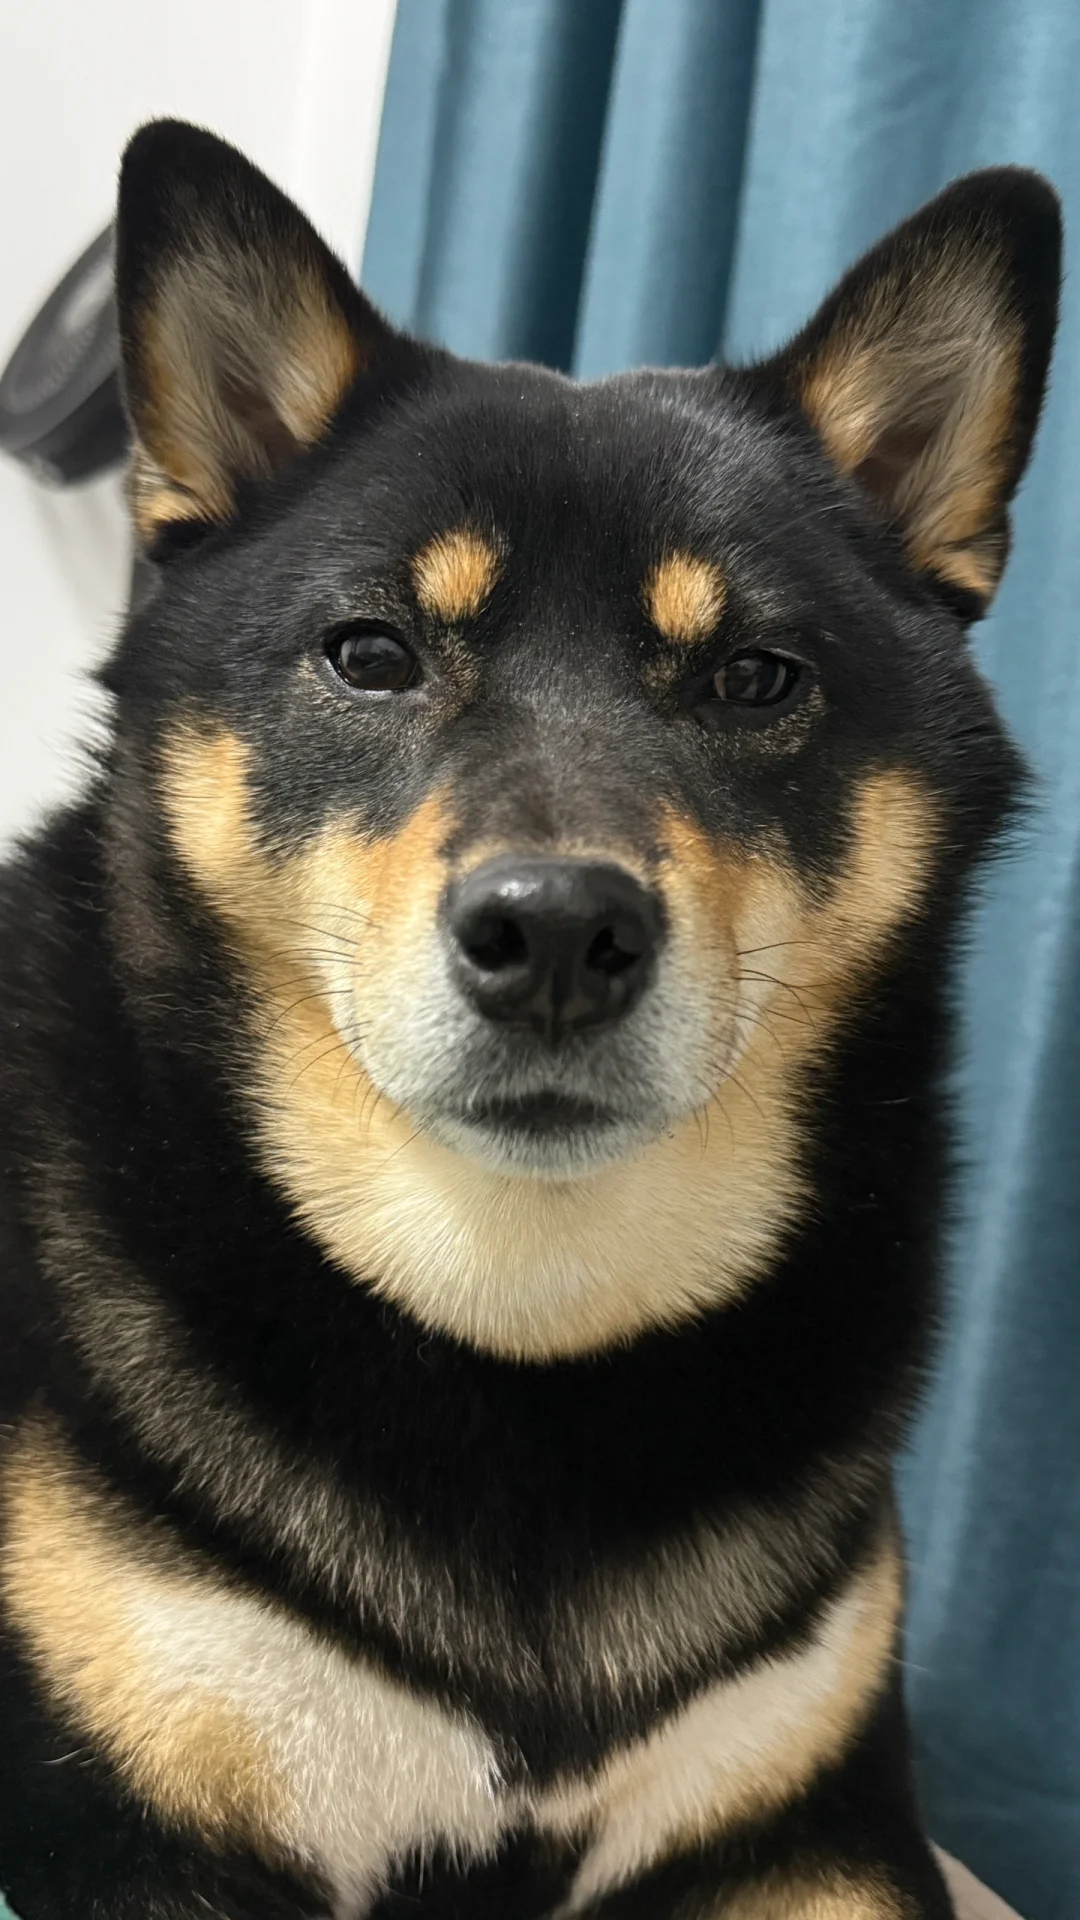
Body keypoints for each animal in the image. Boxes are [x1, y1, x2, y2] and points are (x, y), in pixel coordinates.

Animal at [0, 120, 1059, 1920]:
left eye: (757, 679)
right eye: (372, 653)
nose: (557, 929)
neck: (521, 1322)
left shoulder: (819, 1828)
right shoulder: (131, 1828)